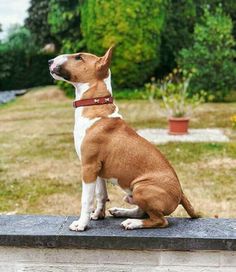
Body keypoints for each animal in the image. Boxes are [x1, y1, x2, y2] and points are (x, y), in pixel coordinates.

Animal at [47, 47, 197, 231]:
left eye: (79, 57)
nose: (49, 61)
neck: (95, 105)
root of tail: (181, 194)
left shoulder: (88, 166)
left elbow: (86, 199)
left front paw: (81, 224)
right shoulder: (98, 170)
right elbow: (101, 194)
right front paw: (98, 215)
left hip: (141, 188)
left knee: (160, 220)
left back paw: (132, 223)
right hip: (133, 193)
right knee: (143, 211)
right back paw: (121, 212)